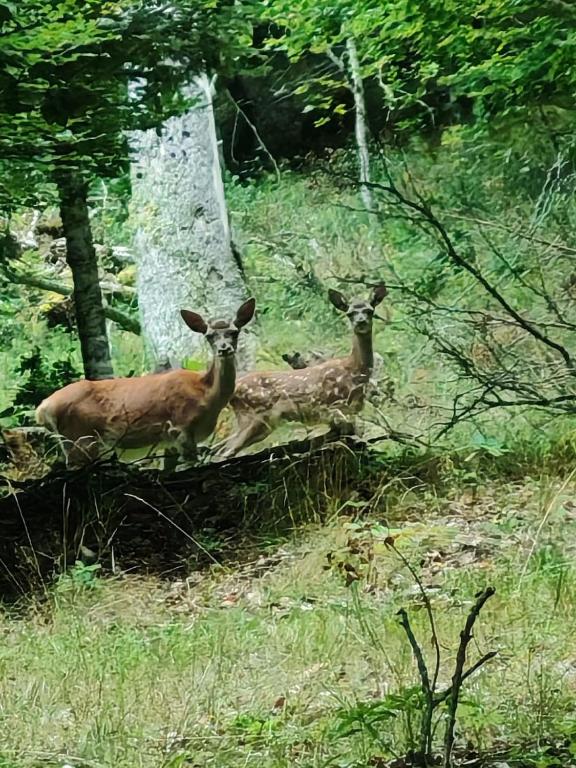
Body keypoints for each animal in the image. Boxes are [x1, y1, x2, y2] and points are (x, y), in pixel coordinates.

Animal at [35, 298, 256, 469]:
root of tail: (42, 408)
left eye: (235, 332)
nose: (224, 348)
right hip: (81, 438)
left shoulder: (169, 441)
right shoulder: (180, 426)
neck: (207, 393)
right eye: (209, 336)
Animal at [219, 284, 387, 458]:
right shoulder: (330, 407)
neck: (354, 369)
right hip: (256, 416)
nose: (361, 322)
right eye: (350, 313)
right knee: (225, 451)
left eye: (370, 311)